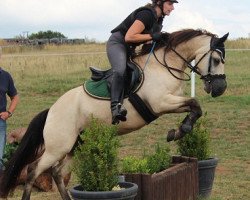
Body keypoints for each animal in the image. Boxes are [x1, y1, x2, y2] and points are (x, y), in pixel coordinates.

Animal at [0, 28, 229, 199]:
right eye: (217, 59)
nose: (221, 88)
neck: (164, 66)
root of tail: (51, 111)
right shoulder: (161, 103)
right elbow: (195, 103)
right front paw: (181, 130)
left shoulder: (171, 102)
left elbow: (195, 107)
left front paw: (179, 130)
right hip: (58, 147)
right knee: (33, 170)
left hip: (76, 145)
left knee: (57, 173)